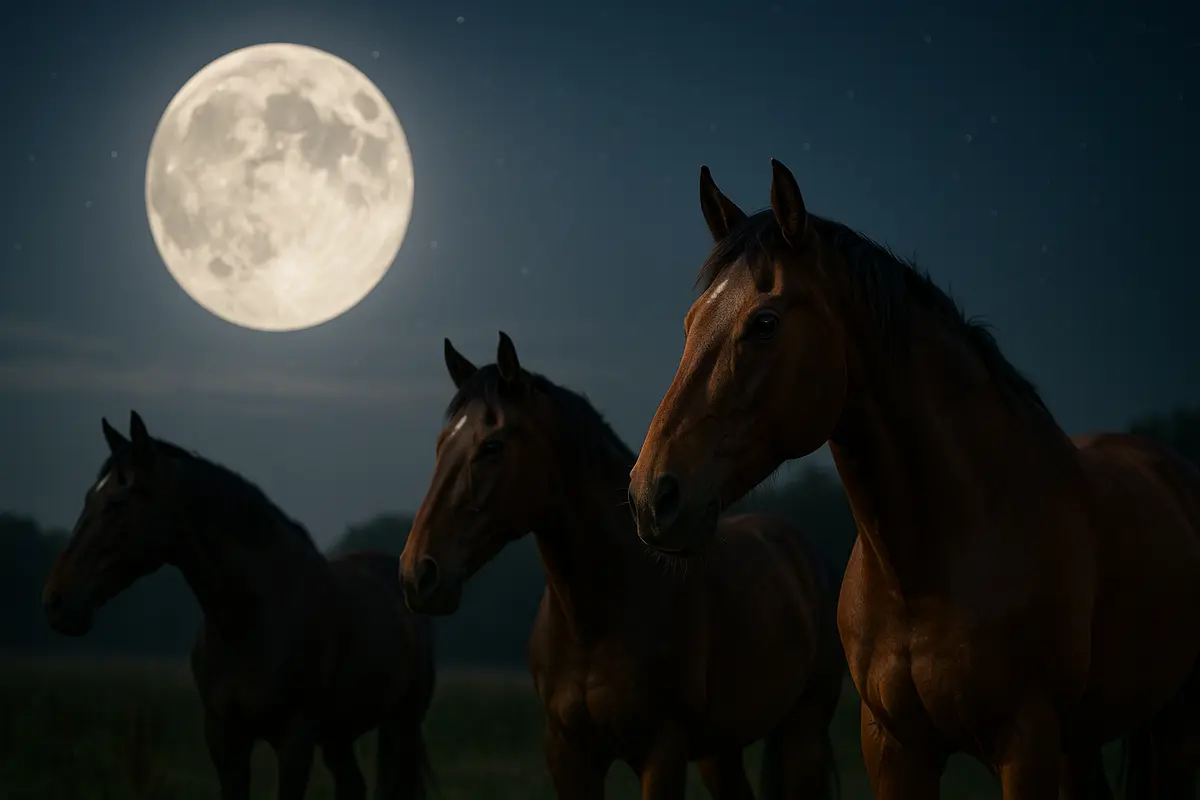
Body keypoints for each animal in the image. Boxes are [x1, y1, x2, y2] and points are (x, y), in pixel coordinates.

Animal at [43, 412, 436, 800]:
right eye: (88, 498)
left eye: (117, 502)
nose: (56, 601)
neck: (249, 620)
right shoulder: (225, 741)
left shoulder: (294, 743)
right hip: (339, 735)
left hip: (402, 726)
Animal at [399, 332, 845, 799]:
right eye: (441, 444)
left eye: (491, 446)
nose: (417, 573)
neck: (600, 612)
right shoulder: (568, 755)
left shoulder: (661, 753)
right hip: (720, 752)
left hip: (804, 732)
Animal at [626, 159, 1200, 799]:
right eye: (690, 323)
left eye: (764, 323)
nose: (652, 496)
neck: (929, 570)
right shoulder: (894, 748)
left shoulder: (1027, 746)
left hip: (1176, 724)